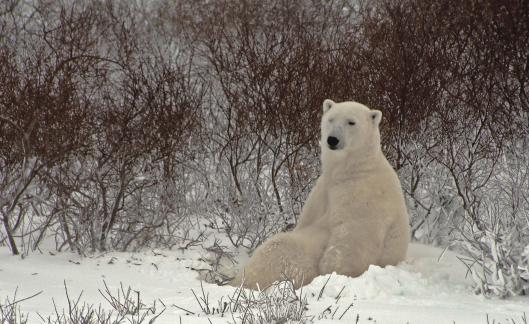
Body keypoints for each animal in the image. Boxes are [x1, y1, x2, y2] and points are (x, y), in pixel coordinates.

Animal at [230, 98, 408, 288]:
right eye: (331, 119)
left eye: (351, 122)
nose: (332, 139)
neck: (353, 168)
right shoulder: (322, 190)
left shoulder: (364, 194)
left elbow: (353, 235)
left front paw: (330, 269)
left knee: (280, 247)